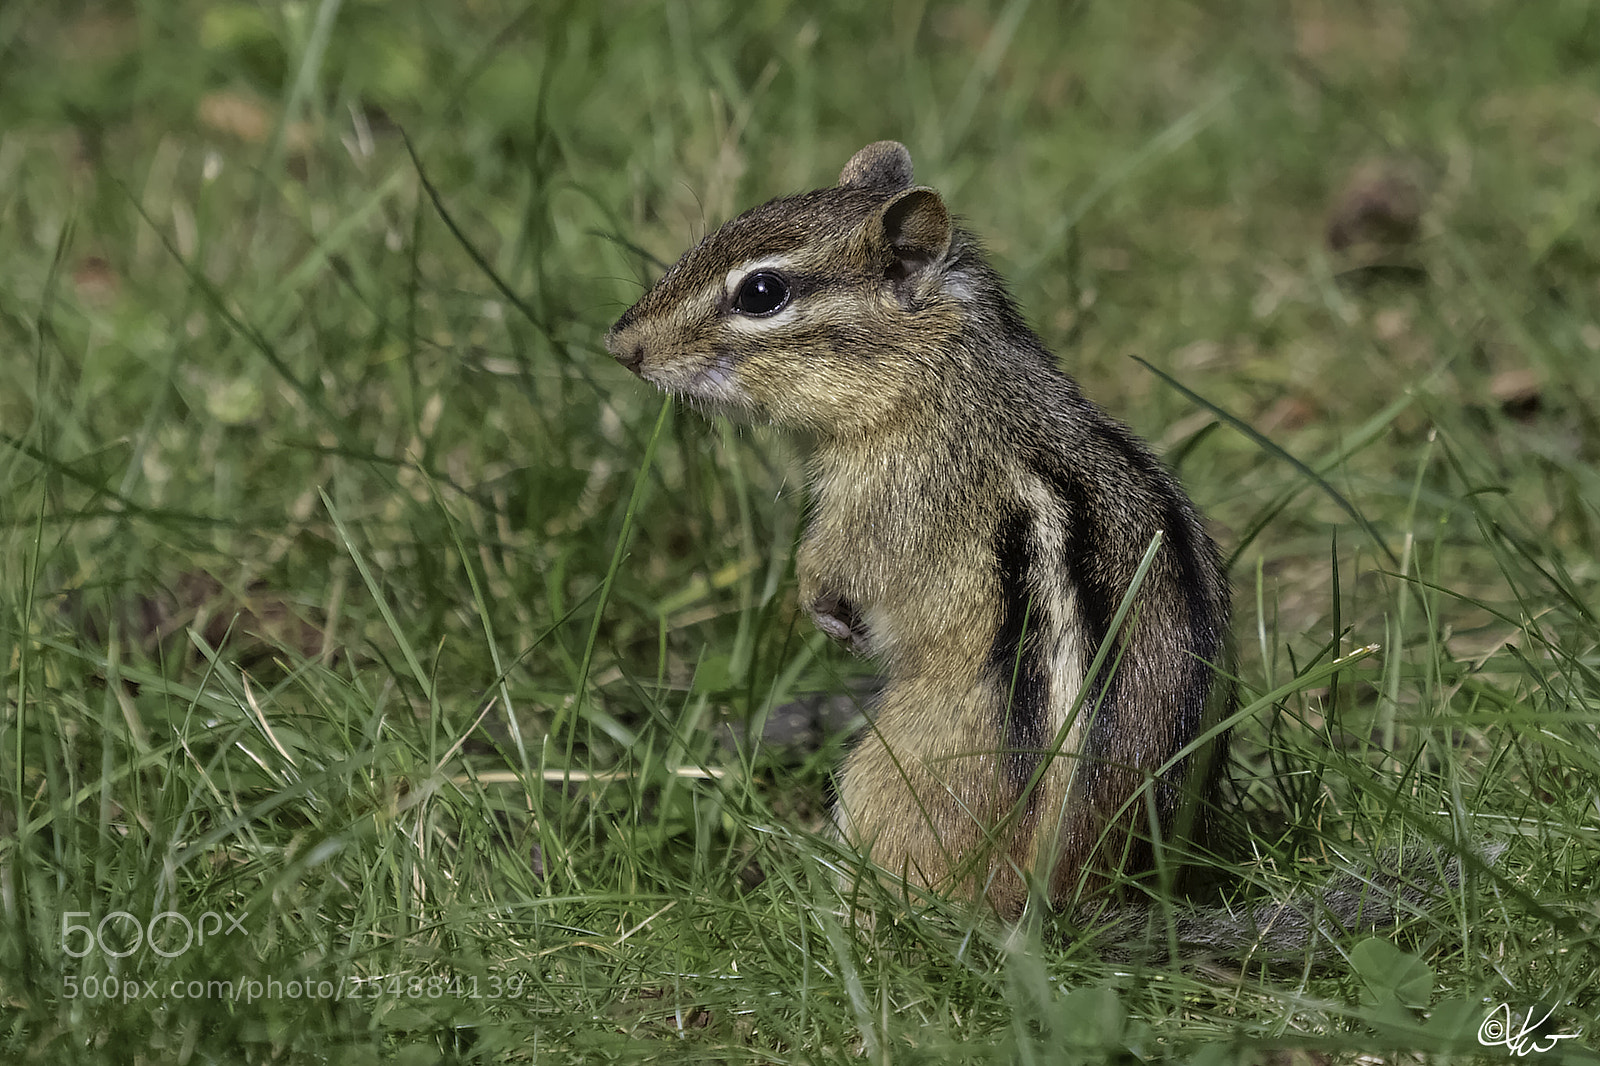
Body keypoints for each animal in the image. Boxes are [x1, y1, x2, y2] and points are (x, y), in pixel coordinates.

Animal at [605, 140, 1232, 922]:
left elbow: (834, 561)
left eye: (761, 292)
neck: (944, 377)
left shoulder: (877, 505)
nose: (621, 345)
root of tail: (1064, 901)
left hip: (881, 779)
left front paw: (822, 611)